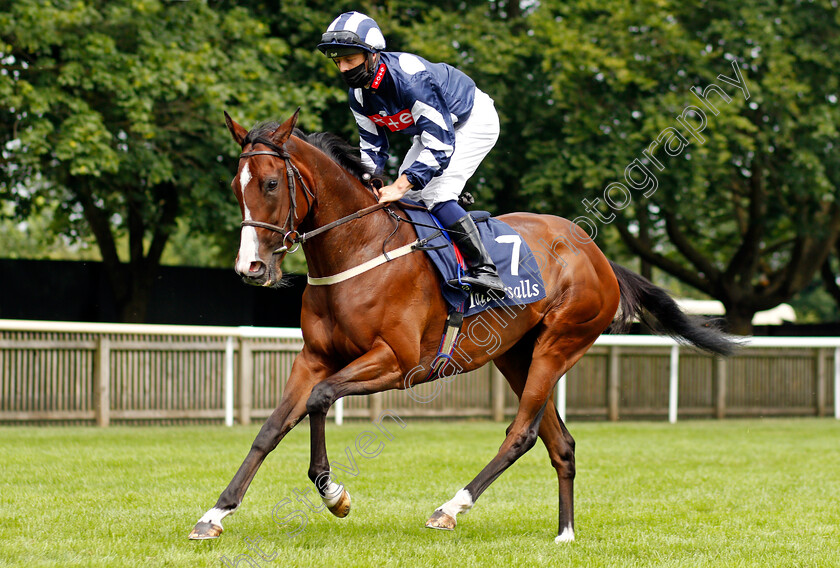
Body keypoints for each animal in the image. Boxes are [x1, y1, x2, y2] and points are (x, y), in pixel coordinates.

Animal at [187, 110, 732, 540]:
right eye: (235, 187)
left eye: (271, 184)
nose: (251, 267)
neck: (358, 248)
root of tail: (596, 254)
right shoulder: (314, 357)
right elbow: (271, 428)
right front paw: (215, 514)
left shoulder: (398, 362)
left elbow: (320, 401)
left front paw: (333, 492)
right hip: (515, 355)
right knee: (560, 442)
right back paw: (565, 533)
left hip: (559, 344)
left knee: (522, 434)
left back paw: (451, 508)